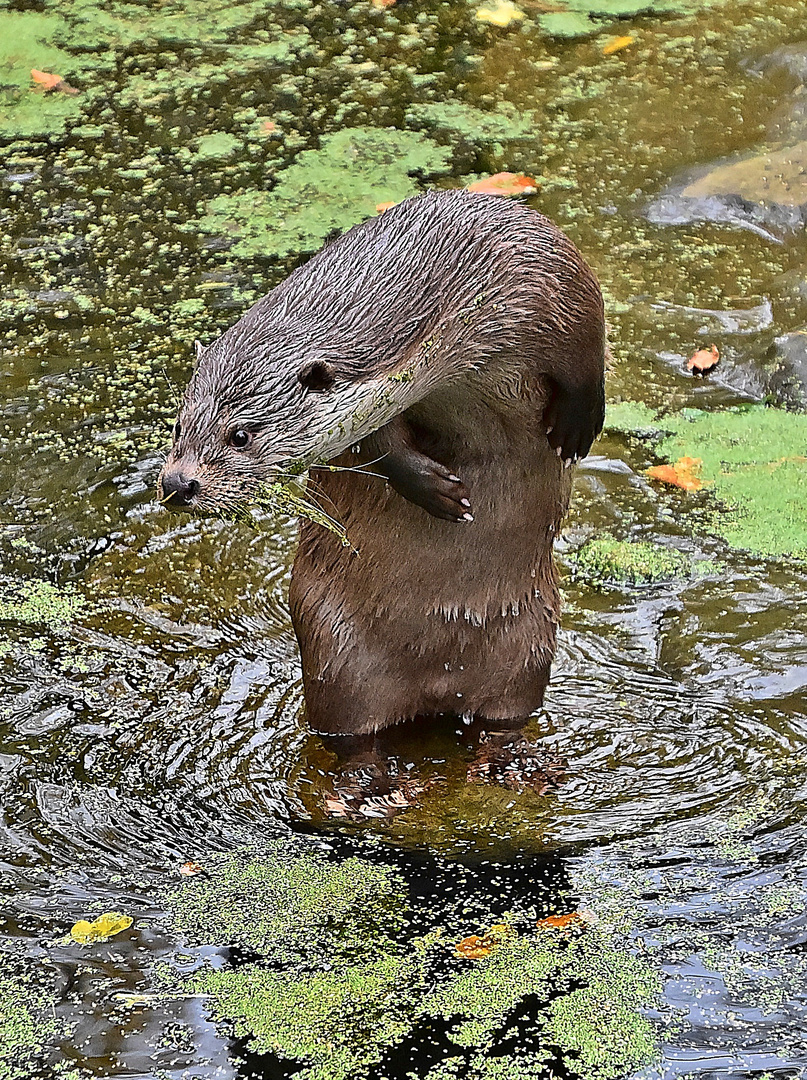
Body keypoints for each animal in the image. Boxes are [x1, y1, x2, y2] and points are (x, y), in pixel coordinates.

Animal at [157, 190, 604, 738]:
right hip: (337, 657)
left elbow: (587, 345)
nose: (178, 483)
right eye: (179, 425)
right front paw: (439, 492)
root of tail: (440, 684)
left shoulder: (547, 271)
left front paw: (578, 423)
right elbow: (378, 445)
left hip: (529, 652)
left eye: (240, 435)